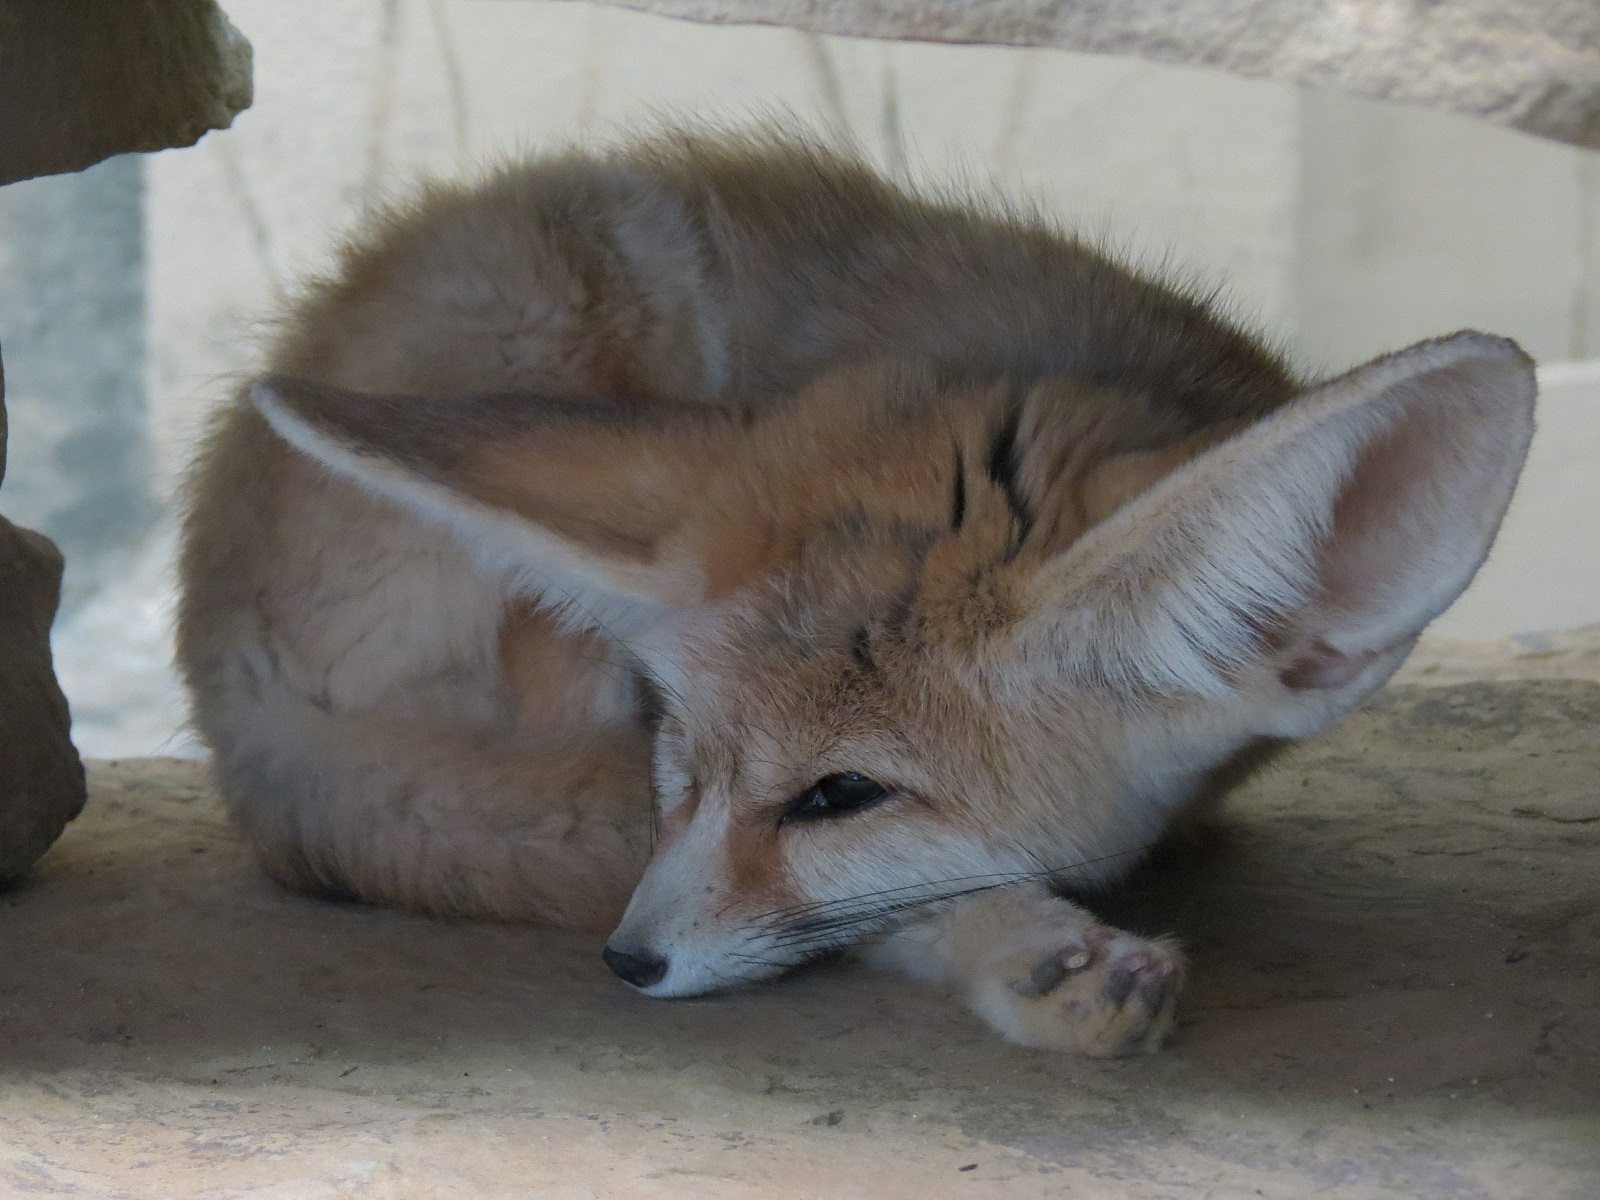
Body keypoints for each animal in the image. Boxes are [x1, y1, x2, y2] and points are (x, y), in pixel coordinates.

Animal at [176, 129, 1536, 1056]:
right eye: (680, 756)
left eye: (841, 795)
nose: (628, 960)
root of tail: (220, 689)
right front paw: (1019, 941)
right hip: (599, 265)